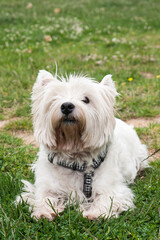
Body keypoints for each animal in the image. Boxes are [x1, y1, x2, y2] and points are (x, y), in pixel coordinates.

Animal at [16, 70, 149, 220]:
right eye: (55, 98)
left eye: (86, 99)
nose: (66, 106)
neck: (74, 155)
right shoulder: (46, 185)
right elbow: (43, 197)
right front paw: (44, 212)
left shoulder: (111, 188)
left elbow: (107, 199)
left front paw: (95, 213)